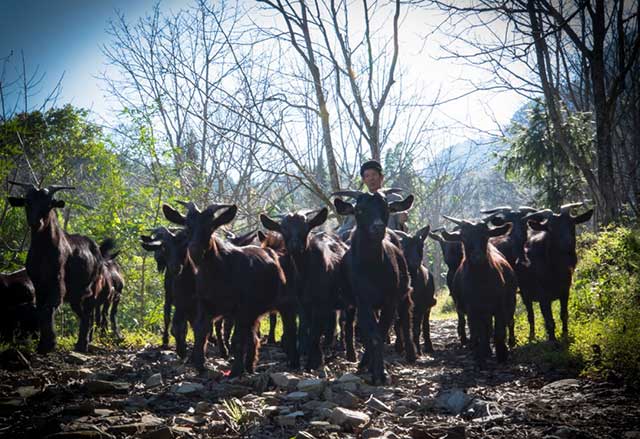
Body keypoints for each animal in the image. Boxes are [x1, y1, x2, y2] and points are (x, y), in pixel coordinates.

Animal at [516, 203, 592, 344]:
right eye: (551, 228)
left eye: (572, 223)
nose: (568, 244)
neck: (554, 269)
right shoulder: (543, 296)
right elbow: (549, 321)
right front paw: (553, 341)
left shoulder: (565, 291)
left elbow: (564, 314)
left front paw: (565, 335)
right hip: (525, 294)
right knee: (531, 315)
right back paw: (532, 337)